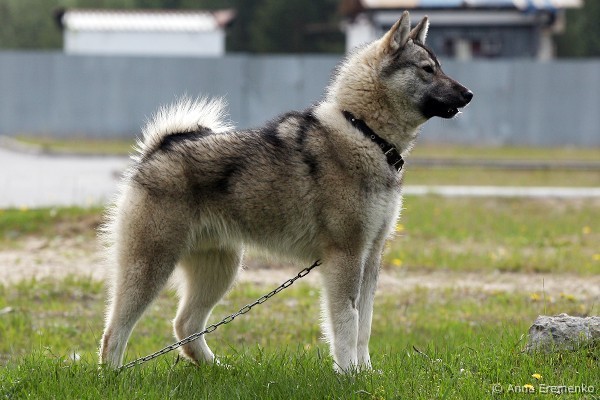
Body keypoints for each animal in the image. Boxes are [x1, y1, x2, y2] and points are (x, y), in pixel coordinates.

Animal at [99, 11, 472, 373]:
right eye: (427, 70)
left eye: (439, 66)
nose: (469, 94)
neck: (366, 132)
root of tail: (160, 149)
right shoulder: (346, 255)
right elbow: (347, 321)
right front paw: (349, 374)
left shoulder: (372, 254)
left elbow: (364, 324)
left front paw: (367, 372)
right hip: (150, 266)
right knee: (114, 332)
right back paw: (114, 377)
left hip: (221, 267)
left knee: (186, 326)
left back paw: (219, 369)